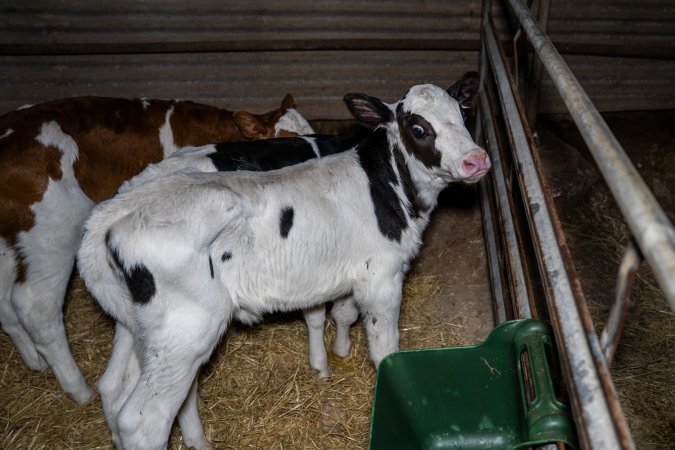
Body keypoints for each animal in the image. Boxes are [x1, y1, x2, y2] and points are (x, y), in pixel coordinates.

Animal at [0, 94, 313, 404]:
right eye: (286, 138)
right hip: (53, 232)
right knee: (35, 306)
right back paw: (80, 391)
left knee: (6, 302)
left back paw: (36, 362)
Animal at [77, 76, 489, 450]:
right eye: (418, 127)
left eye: (462, 114)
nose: (477, 159)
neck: (384, 185)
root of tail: (122, 207)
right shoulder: (381, 278)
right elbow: (385, 351)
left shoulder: (338, 272)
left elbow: (333, 313)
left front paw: (331, 357)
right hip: (186, 327)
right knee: (143, 419)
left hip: (144, 326)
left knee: (119, 387)